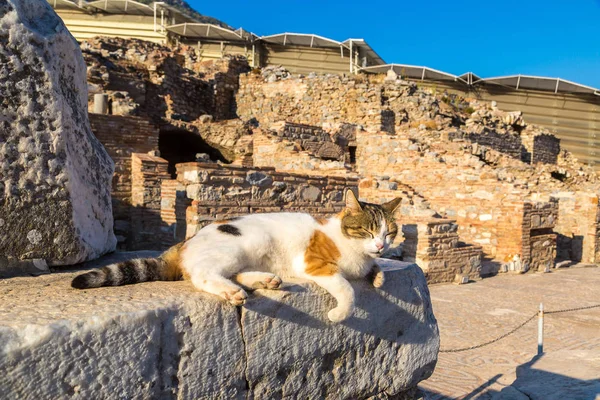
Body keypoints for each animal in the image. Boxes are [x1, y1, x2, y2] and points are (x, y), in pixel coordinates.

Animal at [72, 190, 400, 322]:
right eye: (368, 231)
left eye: (389, 233)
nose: (381, 245)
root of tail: (186, 242)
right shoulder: (314, 264)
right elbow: (346, 288)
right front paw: (340, 313)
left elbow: (373, 270)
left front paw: (378, 275)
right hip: (238, 247)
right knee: (203, 274)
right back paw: (233, 292)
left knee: (235, 273)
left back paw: (265, 281)